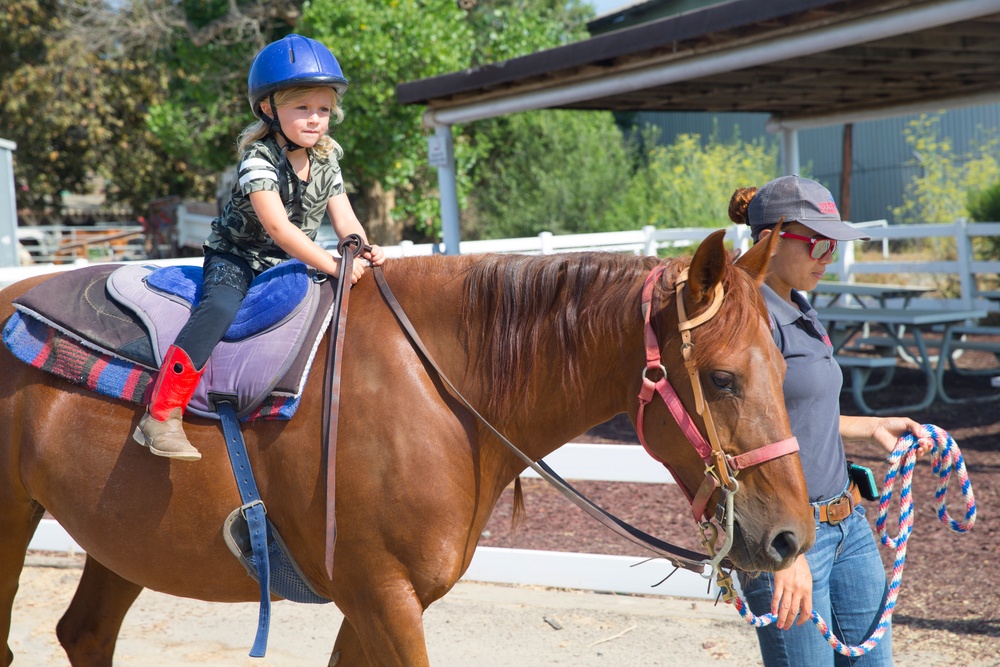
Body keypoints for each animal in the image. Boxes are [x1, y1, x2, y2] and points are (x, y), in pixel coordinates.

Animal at [0, 228, 812, 664]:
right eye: (723, 378)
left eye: (783, 367)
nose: (791, 538)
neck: (436, 387)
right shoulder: (383, 598)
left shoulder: (373, 603)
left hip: (118, 542)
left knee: (84, 633)